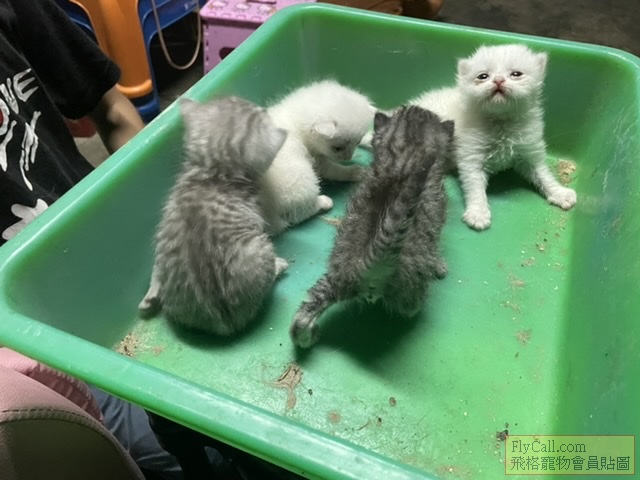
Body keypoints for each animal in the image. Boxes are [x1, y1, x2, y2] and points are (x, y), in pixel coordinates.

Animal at [138, 96, 289, 335]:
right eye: (258, 111)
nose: (262, 107)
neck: (213, 173)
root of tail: (224, 323)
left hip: (162, 249)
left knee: (157, 271)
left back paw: (150, 297)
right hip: (262, 247)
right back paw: (279, 265)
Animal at [260, 79, 376, 235]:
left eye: (357, 142)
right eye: (337, 148)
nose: (348, 157)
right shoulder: (317, 159)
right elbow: (335, 170)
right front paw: (354, 171)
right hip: (301, 180)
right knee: (298, 214)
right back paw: (324, 202)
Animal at [289, 105, 453, 348]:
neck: (406, 152)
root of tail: (365, 266)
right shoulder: (438, 211)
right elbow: (434, 248)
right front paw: (439, 265)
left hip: (333, 279)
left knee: (304, 313)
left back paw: (306, 334)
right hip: (409, 289)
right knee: (410, 306)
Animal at [410, 43, 577, 230]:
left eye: (516, 74)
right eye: (483, 76)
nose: (498, 80)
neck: (501, 121)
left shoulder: (530, 150)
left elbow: (543, 174)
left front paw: (560, 193)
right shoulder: (471, 158)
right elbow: (475, 187)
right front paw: (478, 213)